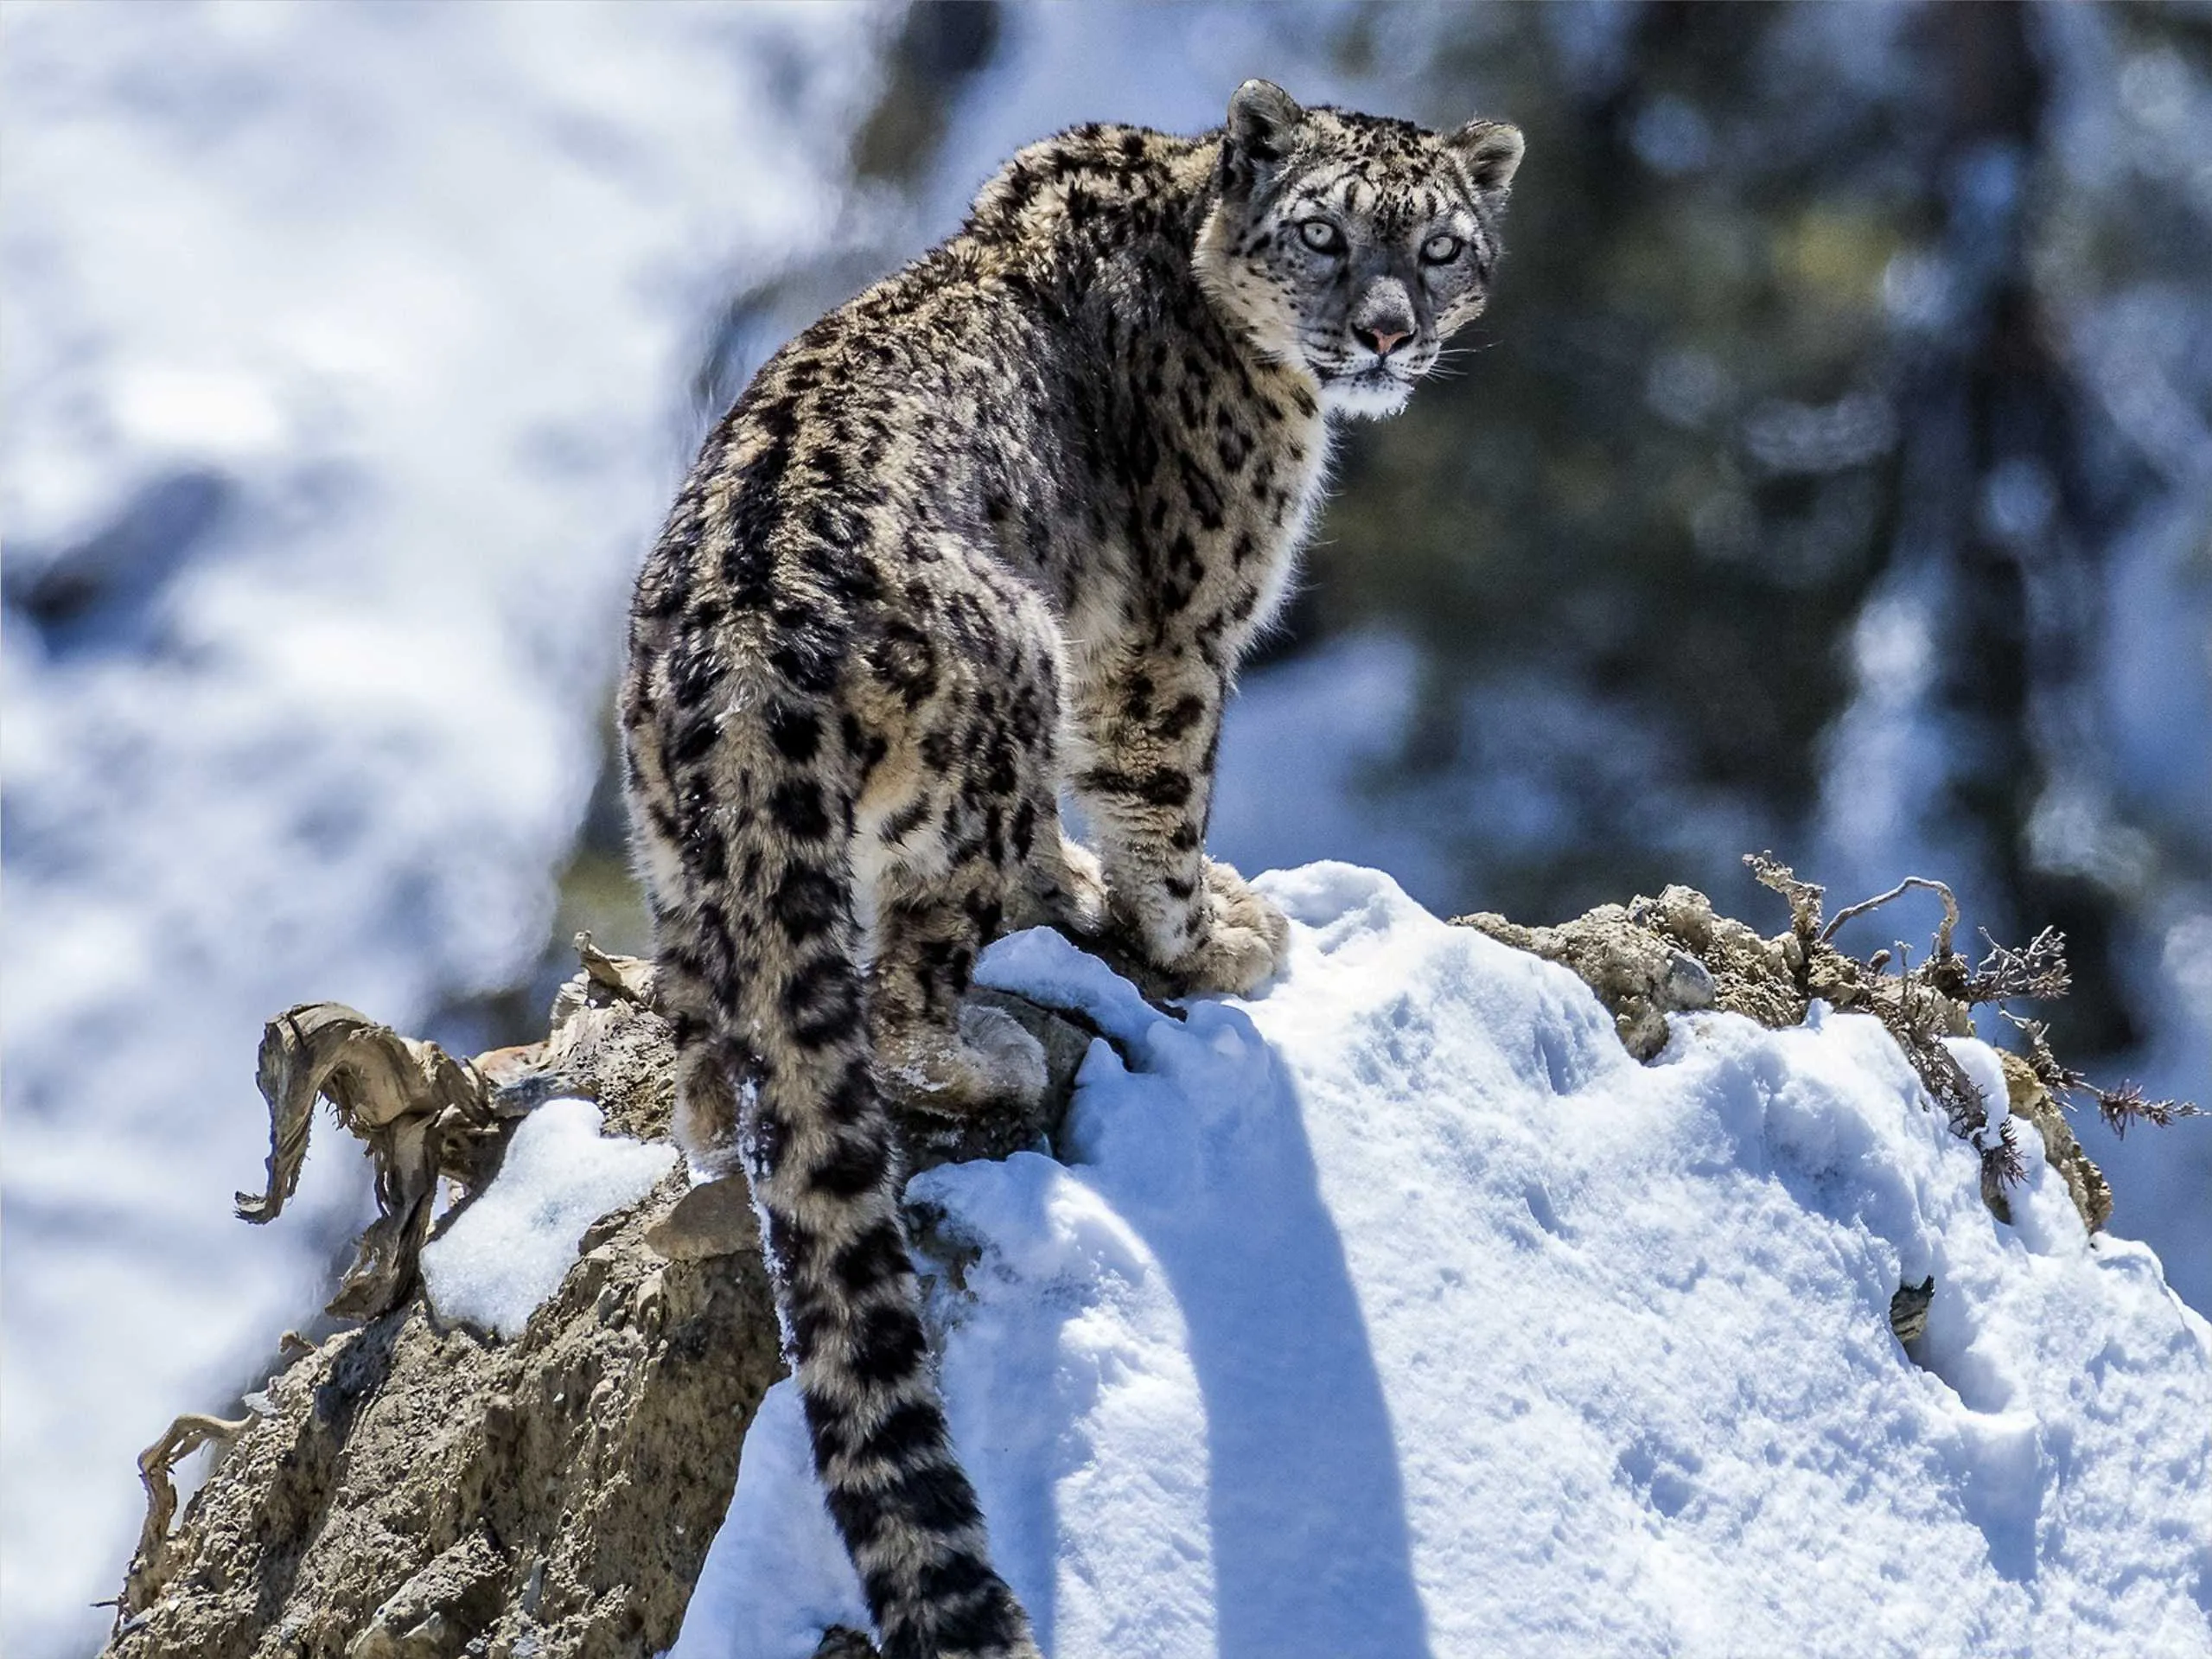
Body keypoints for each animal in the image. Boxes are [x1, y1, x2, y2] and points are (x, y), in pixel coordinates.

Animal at [623, 81, 1521, 1659]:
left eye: (1439, 244)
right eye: (1323, 234)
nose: (1384, 330)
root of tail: (747, 635)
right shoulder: (1171, 635)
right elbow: (1162, 794)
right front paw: (1202, 933)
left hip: (678, 866)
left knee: (721, 1061)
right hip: (1007, 687)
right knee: (898, 992)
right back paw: (987, 1045)